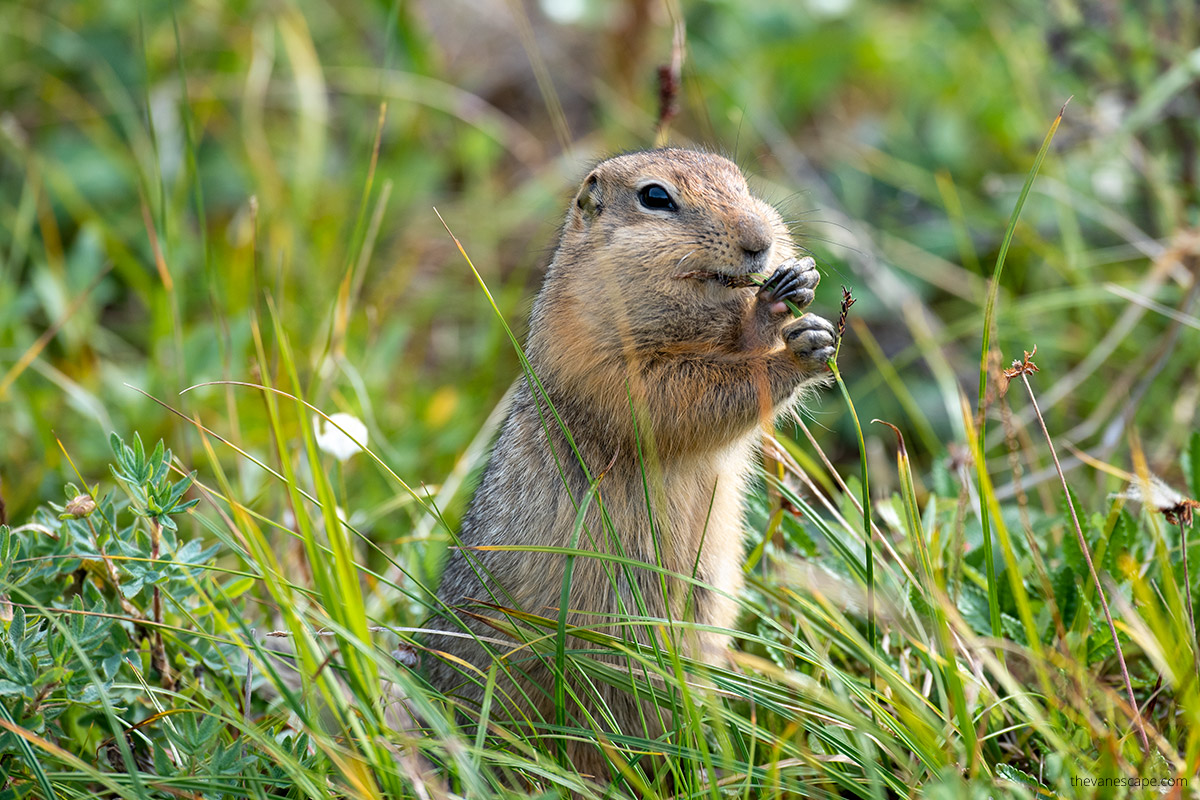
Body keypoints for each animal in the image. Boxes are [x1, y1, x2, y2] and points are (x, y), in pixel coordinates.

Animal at [424, 148, 835, 781]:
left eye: (741, 180)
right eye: (655, 197)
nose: (761, 242)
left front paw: (791, 292)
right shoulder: (606, 358)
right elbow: (685, 395)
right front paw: (795, 349)